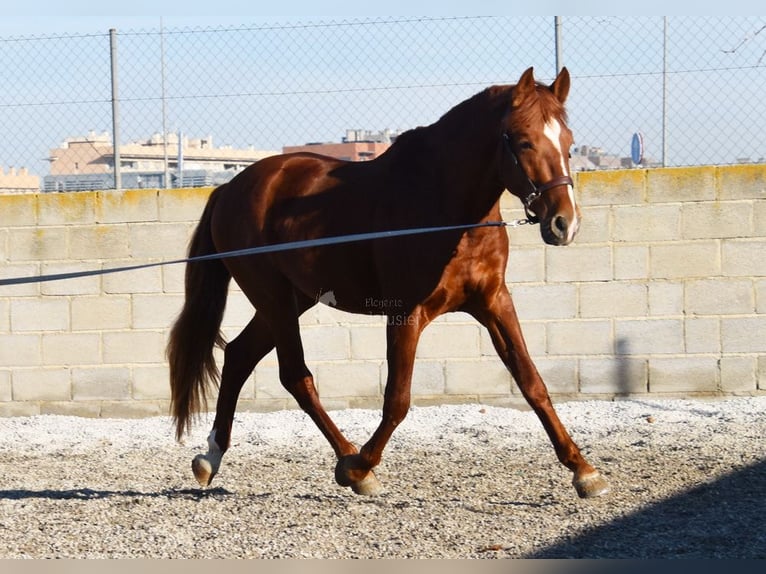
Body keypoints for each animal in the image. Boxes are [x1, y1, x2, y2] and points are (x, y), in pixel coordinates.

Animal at [166, 66, 612, 500]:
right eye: (523, 142)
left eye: (568, 142)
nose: (565, 223)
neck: (447, 210)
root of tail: (230, 187)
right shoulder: (406, 313)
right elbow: (397, 399)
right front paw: (362, 467)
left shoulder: (494, 302)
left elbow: (532, 382)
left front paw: (584, 471)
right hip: (273, 297)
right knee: (294, 375)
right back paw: (346, 459)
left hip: (294, 299)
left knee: (240, 355)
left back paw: (211, 456)